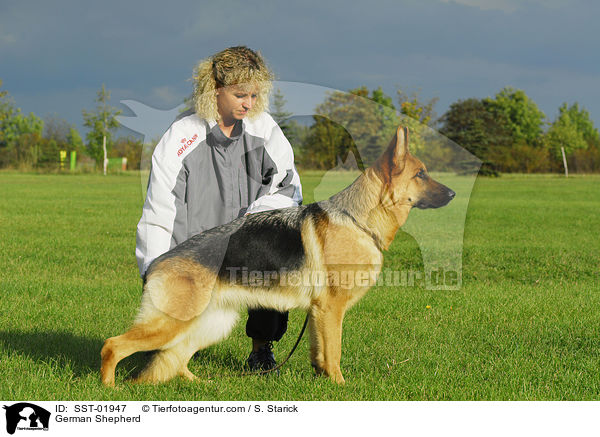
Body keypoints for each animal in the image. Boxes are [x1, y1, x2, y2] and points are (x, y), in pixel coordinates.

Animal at [101, 126, 454, 384]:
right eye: (421, 174)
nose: (452, 193)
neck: (359, 219)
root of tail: (156, 264)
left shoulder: (318, 313)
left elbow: (320, 353)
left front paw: (322, 382)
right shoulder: (331, 310)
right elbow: (335, 352)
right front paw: (341, 387)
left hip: (208, 325)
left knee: (175, 358)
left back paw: (201, 384)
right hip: (172, 323)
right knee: (113, 346)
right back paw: (110, 389)